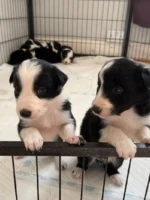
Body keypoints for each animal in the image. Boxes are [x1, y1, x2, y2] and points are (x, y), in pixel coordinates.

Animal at [72, 57, 150, 186]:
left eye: (117, 89)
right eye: (99, 85)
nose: (94, 109)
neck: (126, 113)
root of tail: (100, 158)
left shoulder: (141, 119)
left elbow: (144, 128)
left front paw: (147, 137)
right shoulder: (95, 126)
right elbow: (114, 130)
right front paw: (126, 145)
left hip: (118, 159)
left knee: (110, 166)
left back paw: (116, 176)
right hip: (85, 151)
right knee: (83, 160)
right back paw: (79, 170)